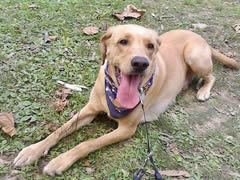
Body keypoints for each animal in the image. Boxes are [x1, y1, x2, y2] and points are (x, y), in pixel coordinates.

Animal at [13, 24, 238, 176]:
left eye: (150, 46)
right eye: (123, 41)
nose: (140, 63)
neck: (114, 94)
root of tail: (198, 36)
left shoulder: (126, 129)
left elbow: (87, 143)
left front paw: (60, 160)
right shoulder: (89, 110)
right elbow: (59, 130)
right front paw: (33, 150)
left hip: (195, 57)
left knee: (212, 76)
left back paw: (204, 91)